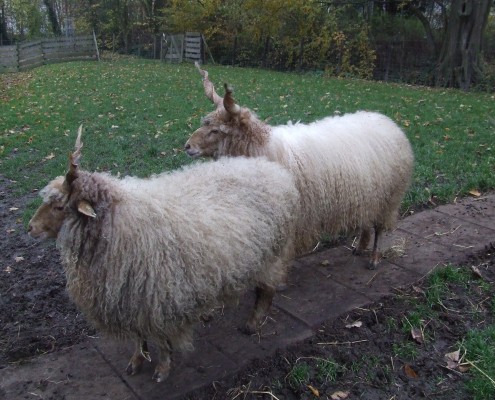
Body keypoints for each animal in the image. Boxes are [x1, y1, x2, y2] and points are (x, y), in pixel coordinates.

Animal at [28, 126, 298, 382]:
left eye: (59, 206)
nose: (30, 228)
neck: (119, 220)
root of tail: (271, 169)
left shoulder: (156, 296)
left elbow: (160, 338)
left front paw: (162, 368)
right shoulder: (130, 298)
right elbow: (138, 337)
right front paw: (136, 361)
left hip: (271, 252)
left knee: (267, 289)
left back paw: (253, 323)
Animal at [185, 64, 414, 268]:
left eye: (216, 130)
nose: (187, 146)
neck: (264, 148)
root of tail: (387, 121)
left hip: (389, 197)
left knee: (379, 227)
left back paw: (374, 258)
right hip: (370, 194)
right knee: (367, 219)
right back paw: (360, 247)